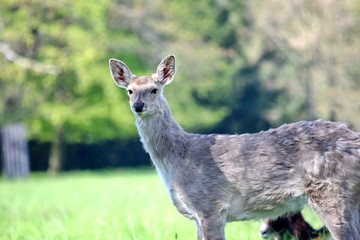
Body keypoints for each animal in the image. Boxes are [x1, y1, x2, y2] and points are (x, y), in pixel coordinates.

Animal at [108, 54, 360, 240]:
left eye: (154, 89)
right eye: (130, 90)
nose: (138, 106)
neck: (178, 158)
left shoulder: (209, 205)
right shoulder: (198, 214)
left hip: (332, 193)